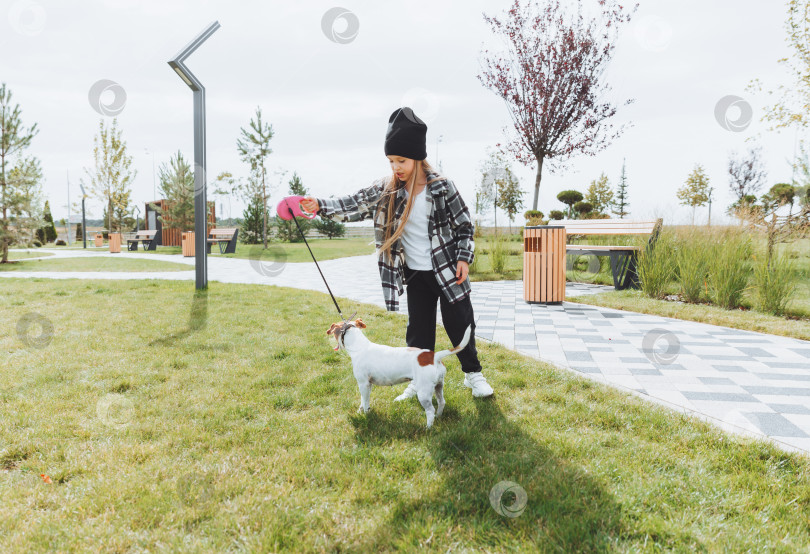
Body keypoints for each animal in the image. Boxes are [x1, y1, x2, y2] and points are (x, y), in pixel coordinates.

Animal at [326, 316, 470, 430]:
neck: (359, 346)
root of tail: (433, 356)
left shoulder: (363, 384)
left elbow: (365, 402)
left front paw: (366, 415)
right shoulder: (367, 385)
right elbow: (363, 400)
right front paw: (360, 411)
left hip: (423, 392)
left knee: (430, 410)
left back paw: (428, 428)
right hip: (438, 386)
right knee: (441, 402)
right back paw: (438, 417)